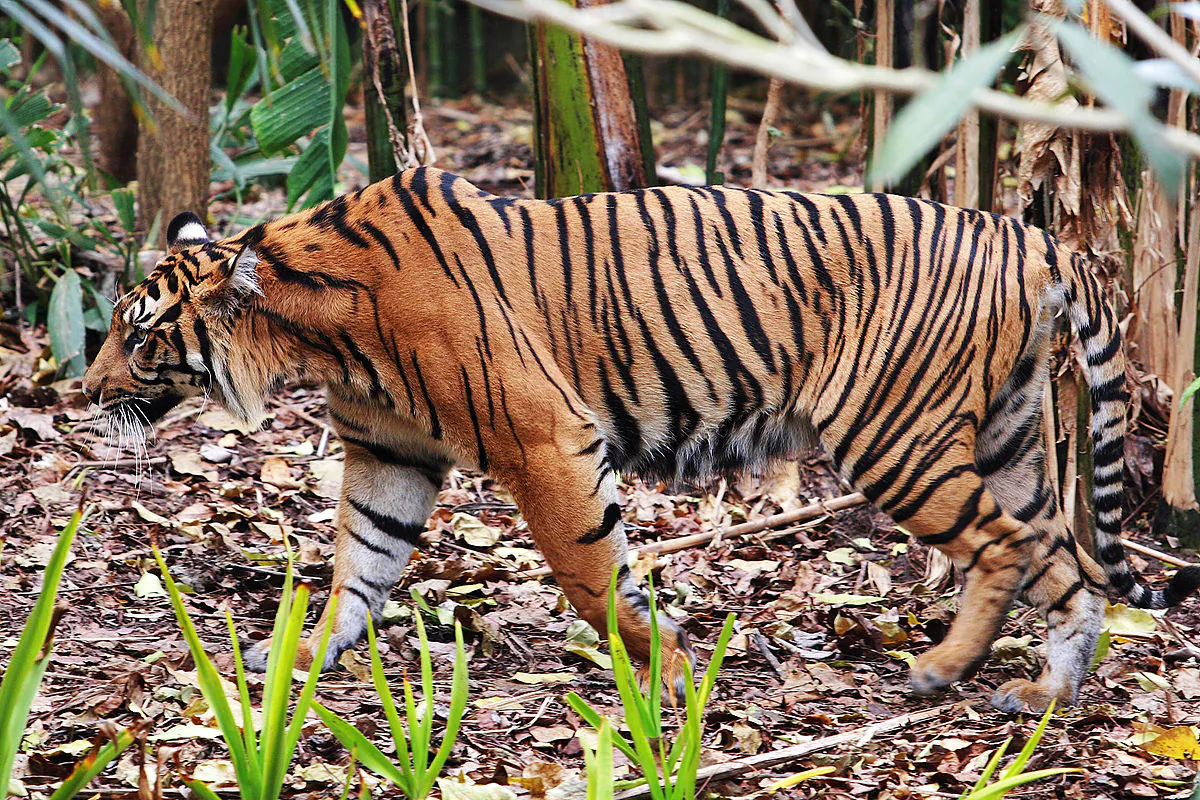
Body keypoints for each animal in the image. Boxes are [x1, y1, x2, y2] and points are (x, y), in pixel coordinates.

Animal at [82, 167, 1200, 714]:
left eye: (136, 336)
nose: (80, 388)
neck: (313, 332)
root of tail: (1032, 231)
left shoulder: (545, 440)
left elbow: (589, 576)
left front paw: (661, 666)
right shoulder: (390, 454)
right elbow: (358, 562)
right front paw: (302, 659)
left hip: (895, 433)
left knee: (1009, 548)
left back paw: (943, 670)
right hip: (1011, 438)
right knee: (1065, 561)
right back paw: (1043, 691)